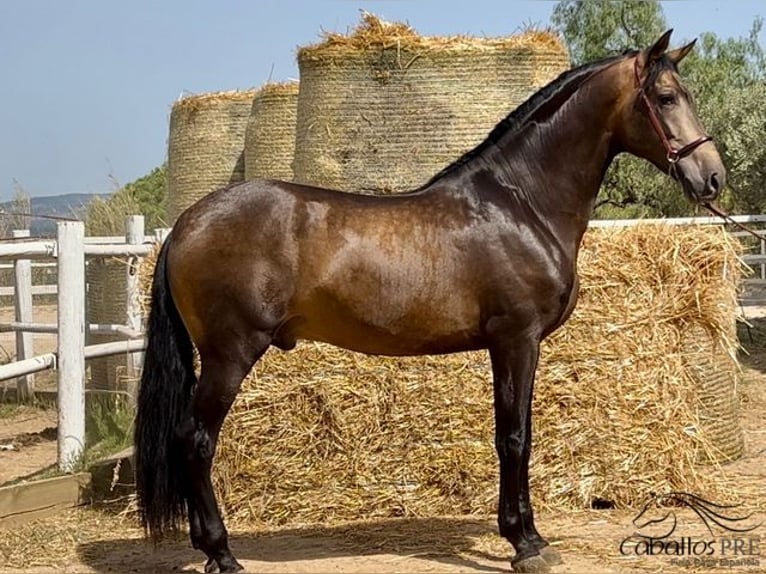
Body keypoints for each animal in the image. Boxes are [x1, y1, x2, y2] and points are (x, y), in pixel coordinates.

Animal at [135, 32, 728, 574]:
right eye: (667, 97)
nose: (713, 177)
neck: (520, 203)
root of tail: (186, 223)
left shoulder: (509, 345)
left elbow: (518, 433)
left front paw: (527, 534)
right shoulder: (516, 339)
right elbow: (514, 436)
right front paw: (525, 544)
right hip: (230, 355)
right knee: (195, 440)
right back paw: (222, 552)